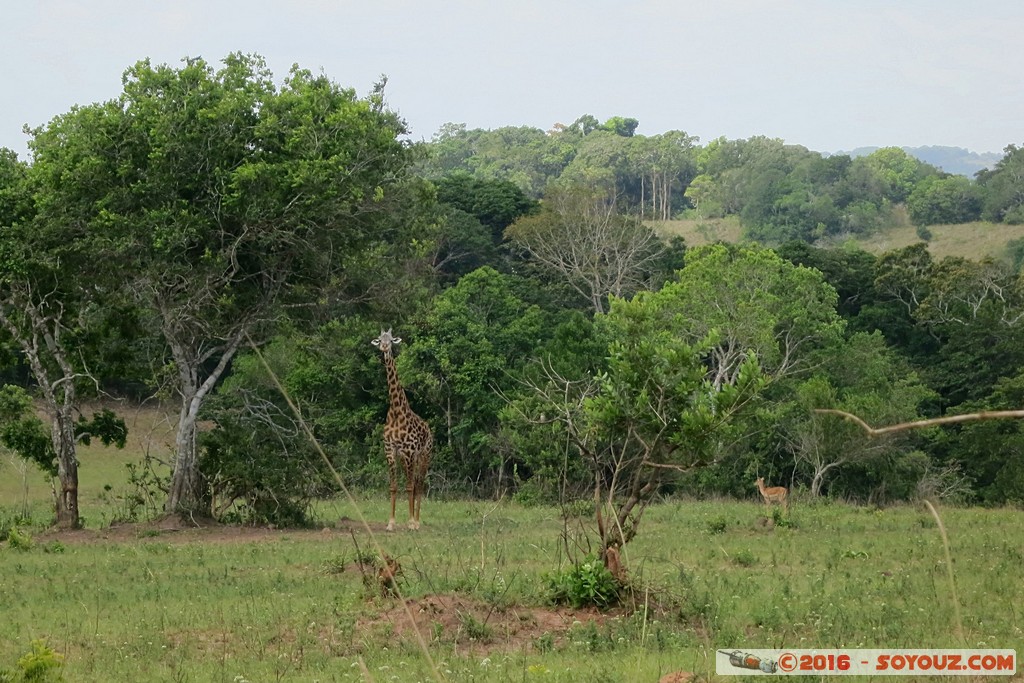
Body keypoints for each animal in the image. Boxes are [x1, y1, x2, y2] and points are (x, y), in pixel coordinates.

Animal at [371, 329, 433, 531]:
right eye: (379, 339)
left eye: (390, 340)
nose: (384, 347)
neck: (397, 411)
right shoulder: (391, 450)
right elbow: (394, 486)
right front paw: (391, 523)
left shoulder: (409, 451)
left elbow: (410, 487)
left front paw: (412, 522)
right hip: (409, 459)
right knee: (413, 482)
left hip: (424, 456)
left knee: (419, 484)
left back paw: (418, 521)